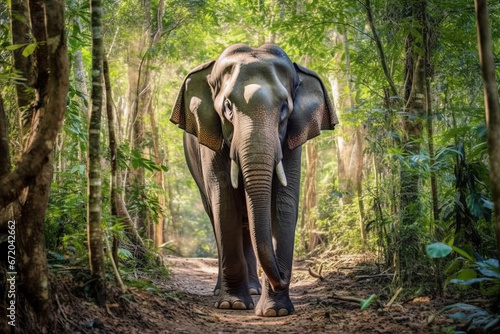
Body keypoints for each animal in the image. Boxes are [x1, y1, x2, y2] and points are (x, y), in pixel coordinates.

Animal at [170, 43, 338, 316]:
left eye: (284, 107)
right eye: (227, 106)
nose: (283, 277)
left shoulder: (291, 140)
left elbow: (283, 203)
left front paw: (275, 311)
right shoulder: (211, 138)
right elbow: (224, 203)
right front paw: (233, 305)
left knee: (247, 222)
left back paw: (253, 290)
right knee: (217, 215)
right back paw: (225, 293)